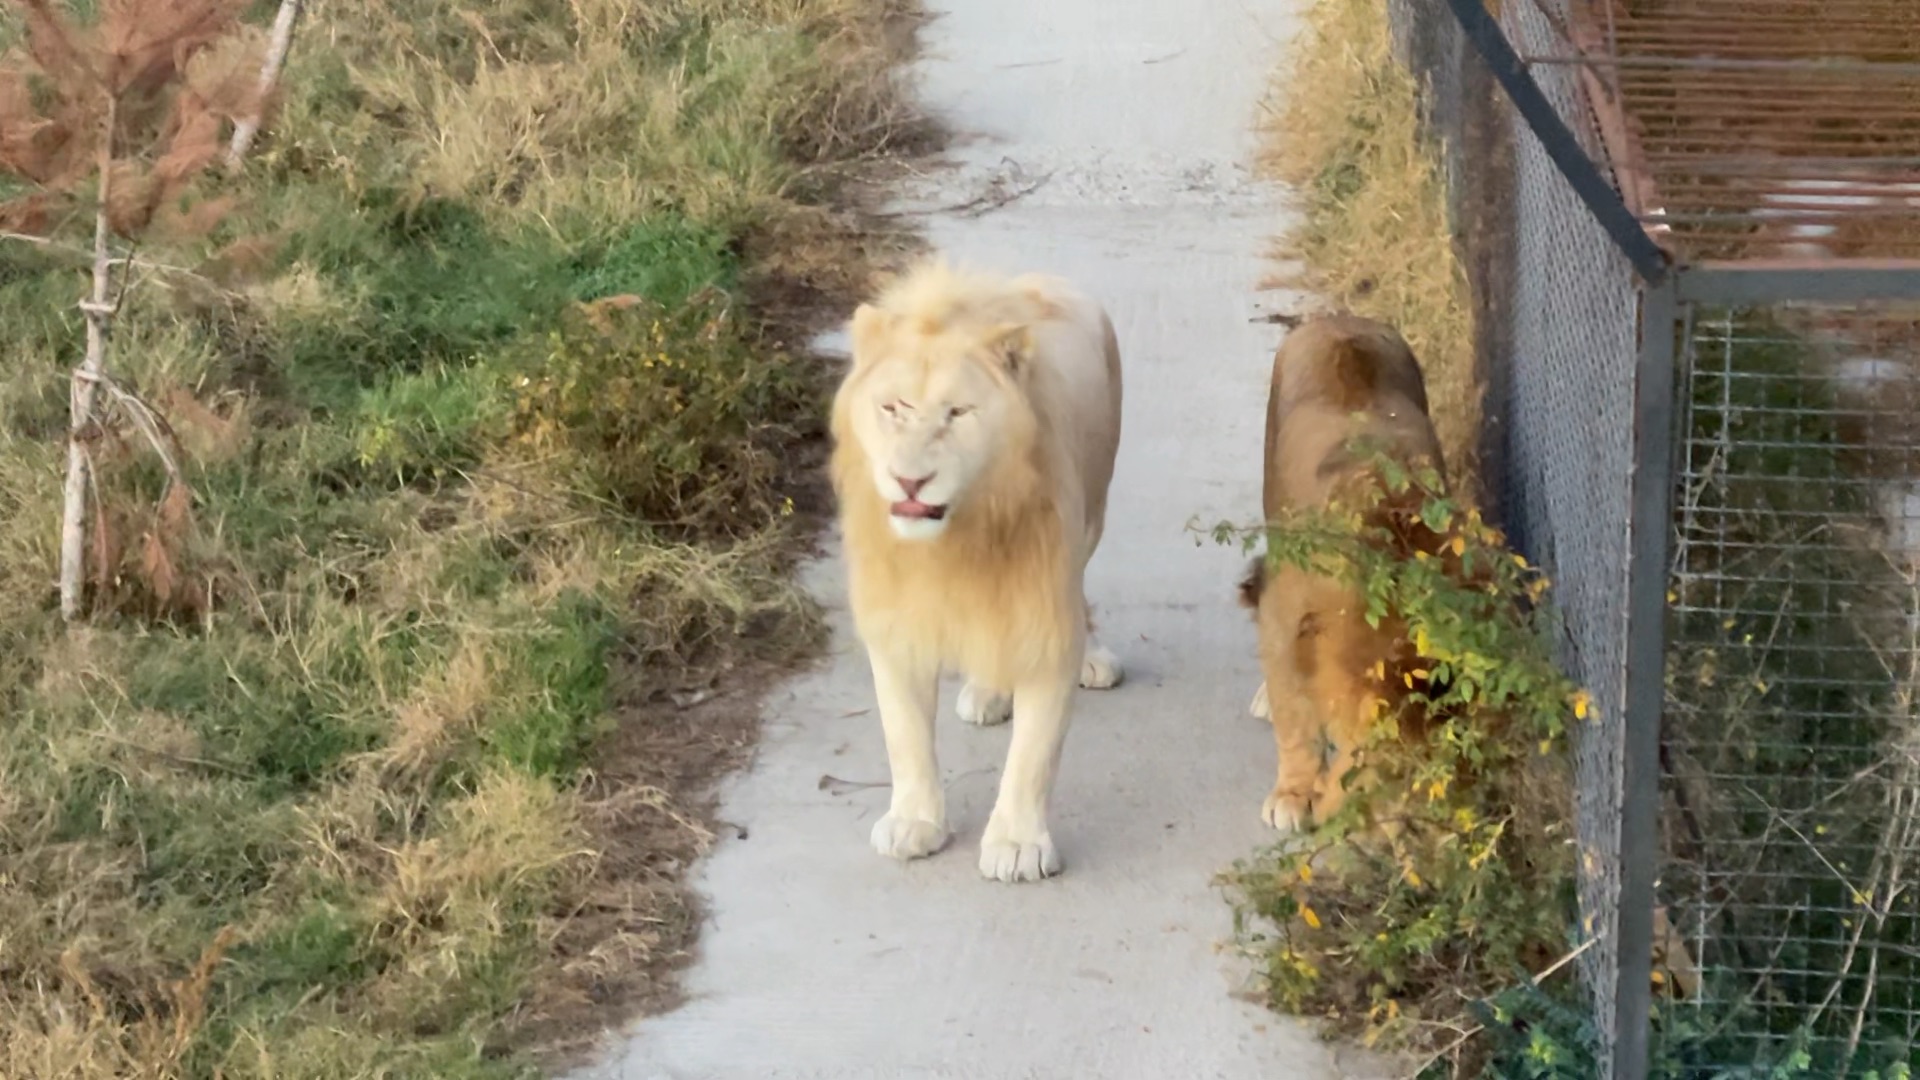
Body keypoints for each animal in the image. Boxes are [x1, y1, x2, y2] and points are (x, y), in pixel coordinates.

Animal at [829, 255, 1121, 880]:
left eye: (958, 413)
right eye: (893, 408)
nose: (910, 480)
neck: (956, 539)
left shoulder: (1045, 612)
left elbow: (1034, 754)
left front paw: (1016, 845)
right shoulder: (896, 621)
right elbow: (904, 734)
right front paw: (914, 822)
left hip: (1093, 516)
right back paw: (987, 693)